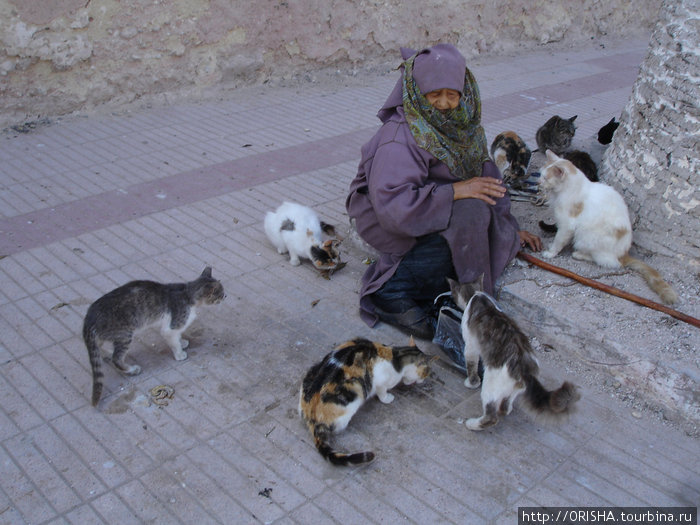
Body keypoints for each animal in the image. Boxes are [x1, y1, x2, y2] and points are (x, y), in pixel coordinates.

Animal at [82, 266, 226, 406]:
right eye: (221, 293)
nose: (226, 295)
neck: (187, 294)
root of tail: (89, 317)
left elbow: (178, 336)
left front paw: (182, 342)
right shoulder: (171, 327)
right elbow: (174, 341)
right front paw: (179, 353)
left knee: (100, 347)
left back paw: (106, 353)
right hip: (124, 335)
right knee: (116, 358)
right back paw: (131, 369)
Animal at [300, 338, 432, 464]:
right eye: (426, 373)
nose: (423, 380)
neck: (398, 357)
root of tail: (312, 420)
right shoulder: (380, 382)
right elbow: (382, 393)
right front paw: (388, 398)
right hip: (355, 392)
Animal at [448, 278, 580, 430]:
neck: (476, 295)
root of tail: (525, 369)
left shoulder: (470, 346)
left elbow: (471, 366)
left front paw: (471, 383)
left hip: (490, 385)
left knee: (491, 417)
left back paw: (472, 424)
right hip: (514, 389)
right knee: (505, 405)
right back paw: (506, 409)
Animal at [536, 149, 680, 302]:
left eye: (545, 178)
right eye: (540, 174)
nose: (538, 182)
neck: (564, 191)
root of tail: (624, 254)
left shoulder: (566, 225)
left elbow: (558, 240)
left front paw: (550, 253)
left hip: (587, 236)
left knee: (609, 262)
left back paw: (579, 254)